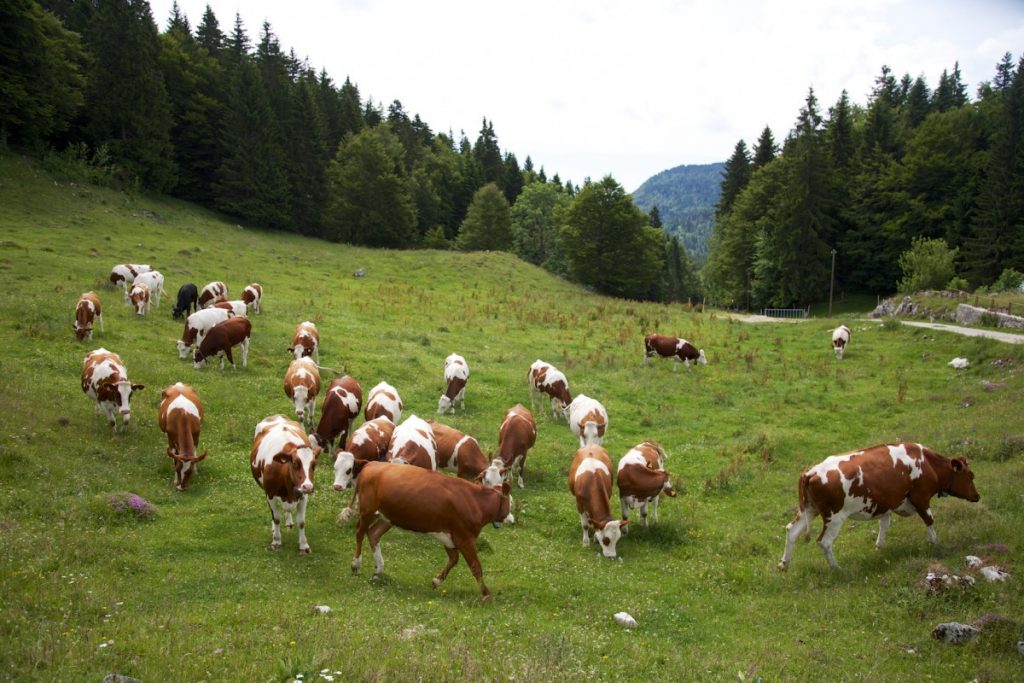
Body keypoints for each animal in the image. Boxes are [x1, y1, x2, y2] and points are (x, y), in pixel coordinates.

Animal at [247, 417, 319, 557]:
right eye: (295, 464)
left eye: (313, 465)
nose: (308, 486)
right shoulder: (270, 495)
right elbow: (276, 518)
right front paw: (276, 541)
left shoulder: (303, 496)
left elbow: (301, 522)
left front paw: (304, 545)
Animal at [352, 462, 512, 602]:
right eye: (510, 501)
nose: (511, 519)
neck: (476, 502)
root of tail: (372, 464)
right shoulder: (464, 538)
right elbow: (475, 566)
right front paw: (486, 595)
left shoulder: (450, 537)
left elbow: (453, 559)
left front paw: (436, 581)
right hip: (367, 511)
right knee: (360, 532)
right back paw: (356, 564)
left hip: (388, 518)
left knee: (373, 534)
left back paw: (378, 570)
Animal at [774, 444, 983, 573]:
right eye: (970, 476)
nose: (977, 496)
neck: (928, 463)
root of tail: (810, 472)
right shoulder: (921, 498)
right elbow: (930, 521)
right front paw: (937, 545)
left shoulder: (888, 502)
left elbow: (884, 524)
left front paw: (879, 546)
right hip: (835, 517)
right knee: (824, 542)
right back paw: (837, 569)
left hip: (809, 509)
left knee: (792, 531)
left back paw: (784, 565)